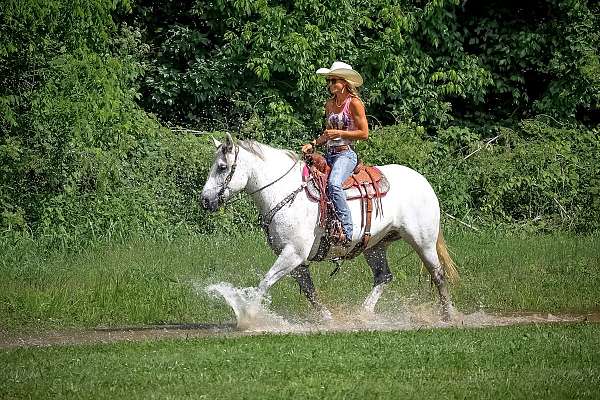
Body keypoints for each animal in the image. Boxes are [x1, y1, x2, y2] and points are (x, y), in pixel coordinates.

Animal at [202, 134, 460, 322]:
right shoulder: (295, 258)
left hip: (423, 242)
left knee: (437, 274)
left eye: (222, 167)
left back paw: (448, 315)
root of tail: (423, 181)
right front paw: (327, 317)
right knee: (384, 276)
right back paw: (363, 313)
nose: (205, 200)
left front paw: (248, 316)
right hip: (375, 245)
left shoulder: (293, 253)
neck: (286, 192)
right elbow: (308, 290)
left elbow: (265, 282)